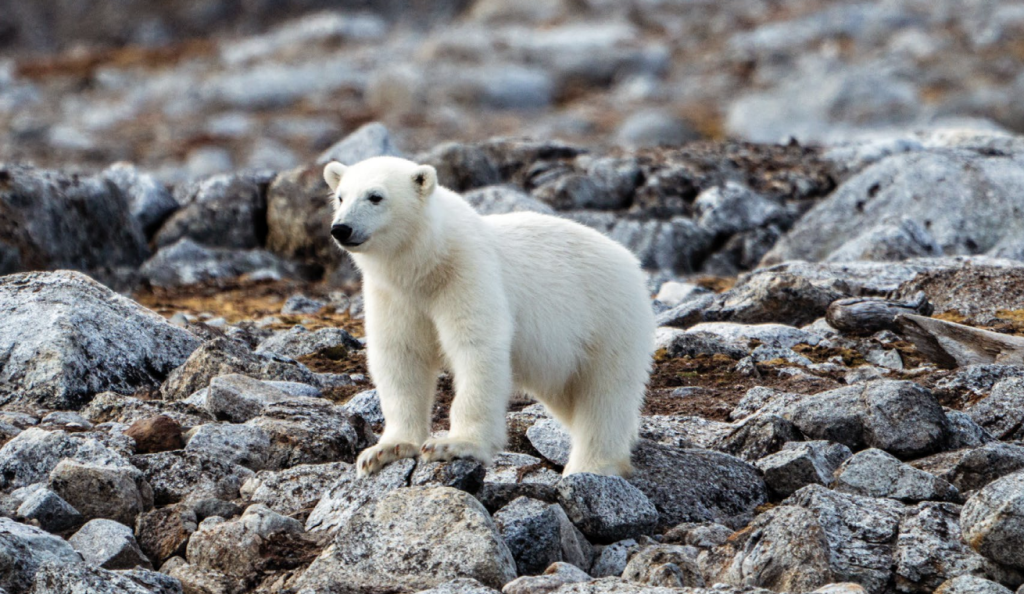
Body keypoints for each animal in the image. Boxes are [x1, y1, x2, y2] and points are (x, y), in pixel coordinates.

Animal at [323, 156, 655, 477]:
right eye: (340, 197)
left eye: (375, 196)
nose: (341, 229)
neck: (427, 264)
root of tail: (632, 262)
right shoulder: (393, 296)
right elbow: (401, 357)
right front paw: (385, 450)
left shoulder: (468, 272)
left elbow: (477, 348)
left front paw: (453, 445)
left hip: (608, 317)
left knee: (605, 393)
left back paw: (592, 465)